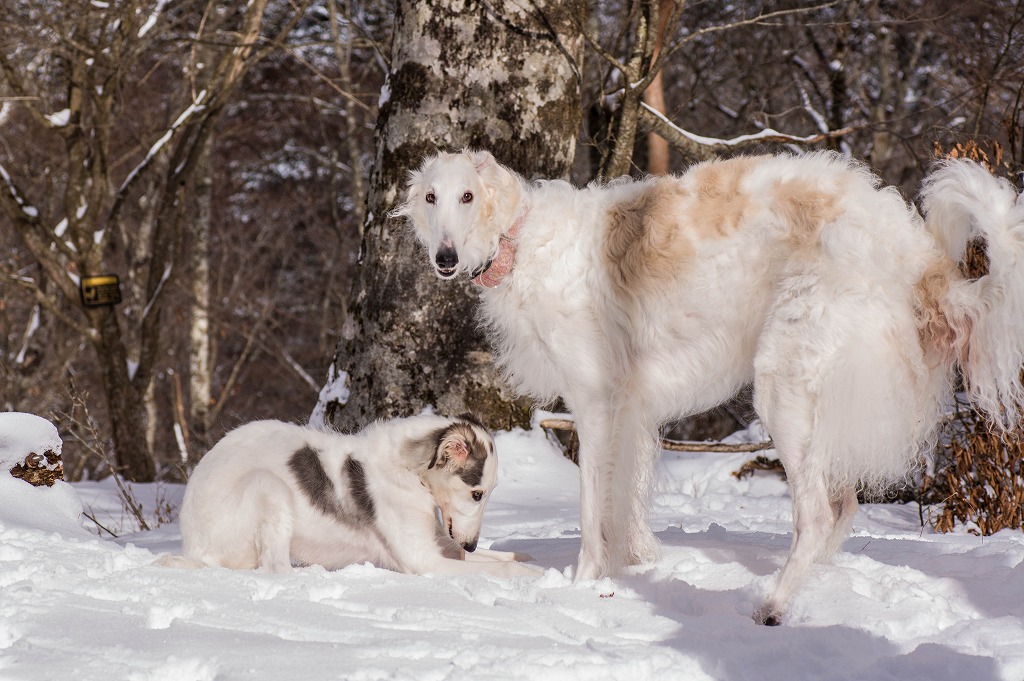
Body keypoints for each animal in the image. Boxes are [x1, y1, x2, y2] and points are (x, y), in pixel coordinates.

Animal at [155, 411, 540, 577]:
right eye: (477, 494)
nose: (471, 544)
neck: (408, 470)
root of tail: (192, 546)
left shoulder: (444, 546)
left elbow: (505, 558)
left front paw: (527, 557)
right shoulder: (423, 561)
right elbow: (504, 569)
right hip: (268, 486)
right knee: (275, 568)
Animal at [397, 147, 1024, 622]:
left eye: (467, 196)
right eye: (431, 198)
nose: (444, 258)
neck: (521, 239)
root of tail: (916, 256)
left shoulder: (595, 400)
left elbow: (591, 507)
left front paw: (583, 581)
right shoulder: (632, 408)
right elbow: (626, 501)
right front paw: (637, 565)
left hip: (784, 385)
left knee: (819, 514)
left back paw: (773, 604)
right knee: (842, 506)